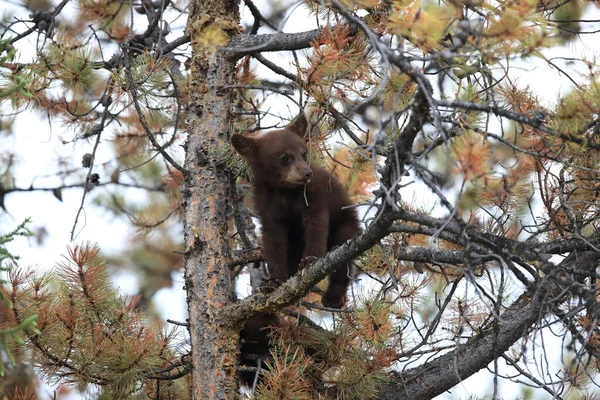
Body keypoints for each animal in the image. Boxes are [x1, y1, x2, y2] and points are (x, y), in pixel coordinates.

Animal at [232, 114, 358, 308]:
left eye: (304, 153)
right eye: (285, 158)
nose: (307, 173)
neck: (285, 191)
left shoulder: (314, 196)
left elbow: (316, 224)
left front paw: (310, 259)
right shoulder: (267, 206)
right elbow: (273, 240)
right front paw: (275, 281)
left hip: (346, 225)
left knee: (342, 262)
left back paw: (334, 297)